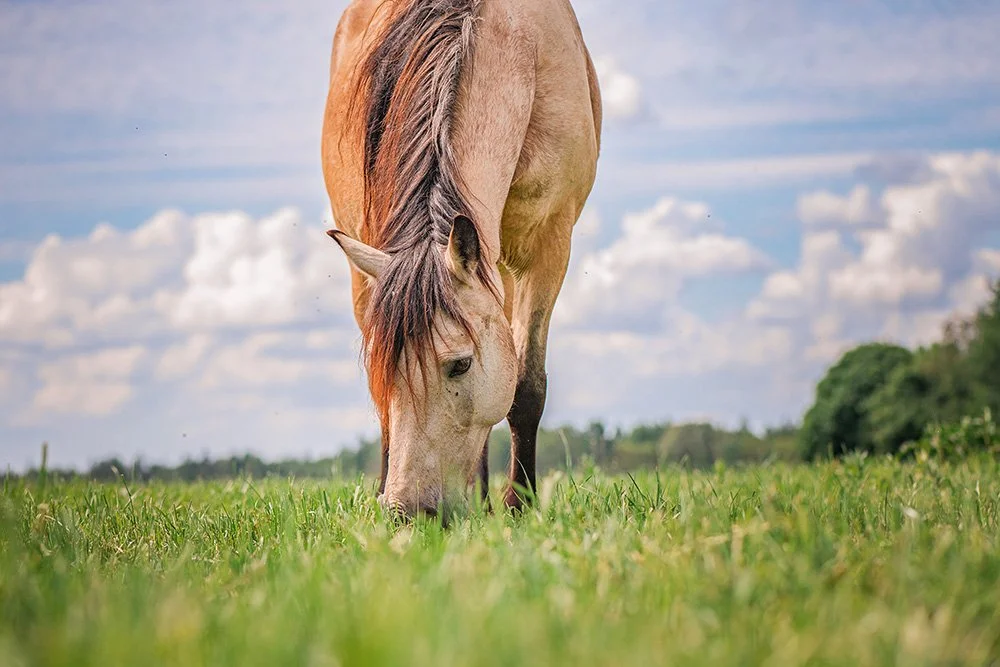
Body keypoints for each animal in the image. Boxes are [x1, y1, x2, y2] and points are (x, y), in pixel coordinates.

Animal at [321, 0, 601, 518]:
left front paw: (519, 506)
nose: (408, 511)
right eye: (383, 368)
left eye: (461, 365)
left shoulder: (549, 245)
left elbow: (525, 386)